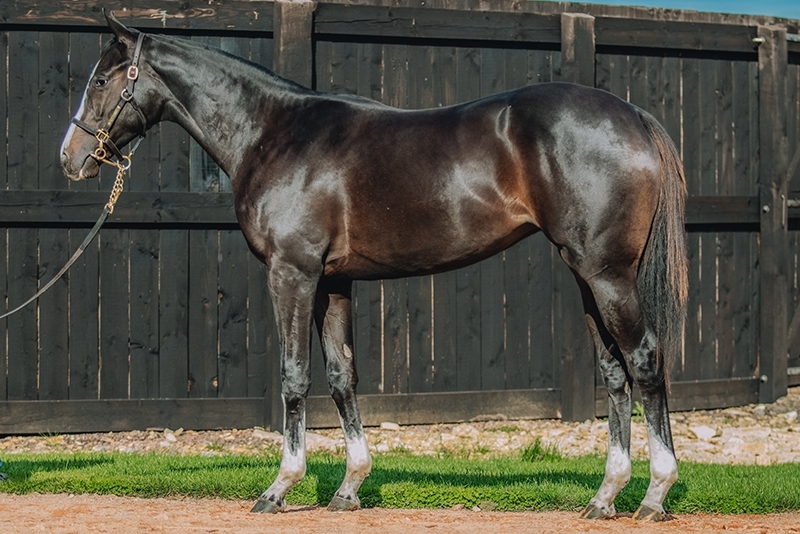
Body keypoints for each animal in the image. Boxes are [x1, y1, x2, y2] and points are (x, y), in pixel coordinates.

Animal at [60, 12, 688, 521]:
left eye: (99, 81)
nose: (70, 158)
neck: (273, 134)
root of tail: (632, 115)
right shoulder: (334, 282)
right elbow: (342, 377)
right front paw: (348, 488)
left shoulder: (292, 274)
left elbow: (294, 378)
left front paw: (279, 488)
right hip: (587, 276)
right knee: (614, 373)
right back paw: (605, 497)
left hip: (607, 275)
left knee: (645, 359)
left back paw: (655, 495)